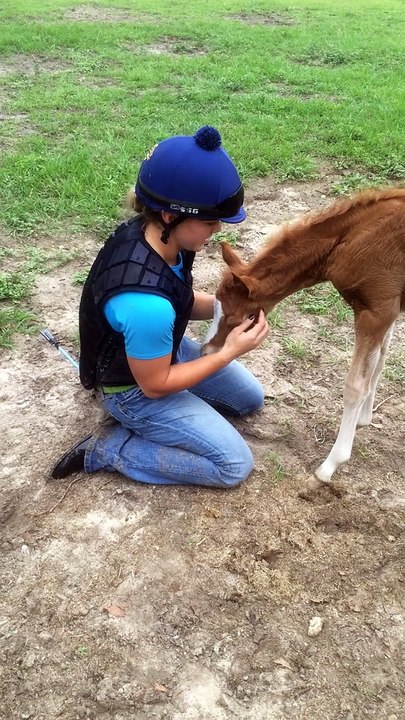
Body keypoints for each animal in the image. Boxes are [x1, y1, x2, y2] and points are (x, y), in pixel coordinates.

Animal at [201, 187, 405, 484]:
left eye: (240, 319)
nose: (206, 352)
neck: (352, 238)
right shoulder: (389, 309)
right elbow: (379, 364)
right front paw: (365, 418)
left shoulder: (377, 310)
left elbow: (356, 385)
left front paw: (330, 466)